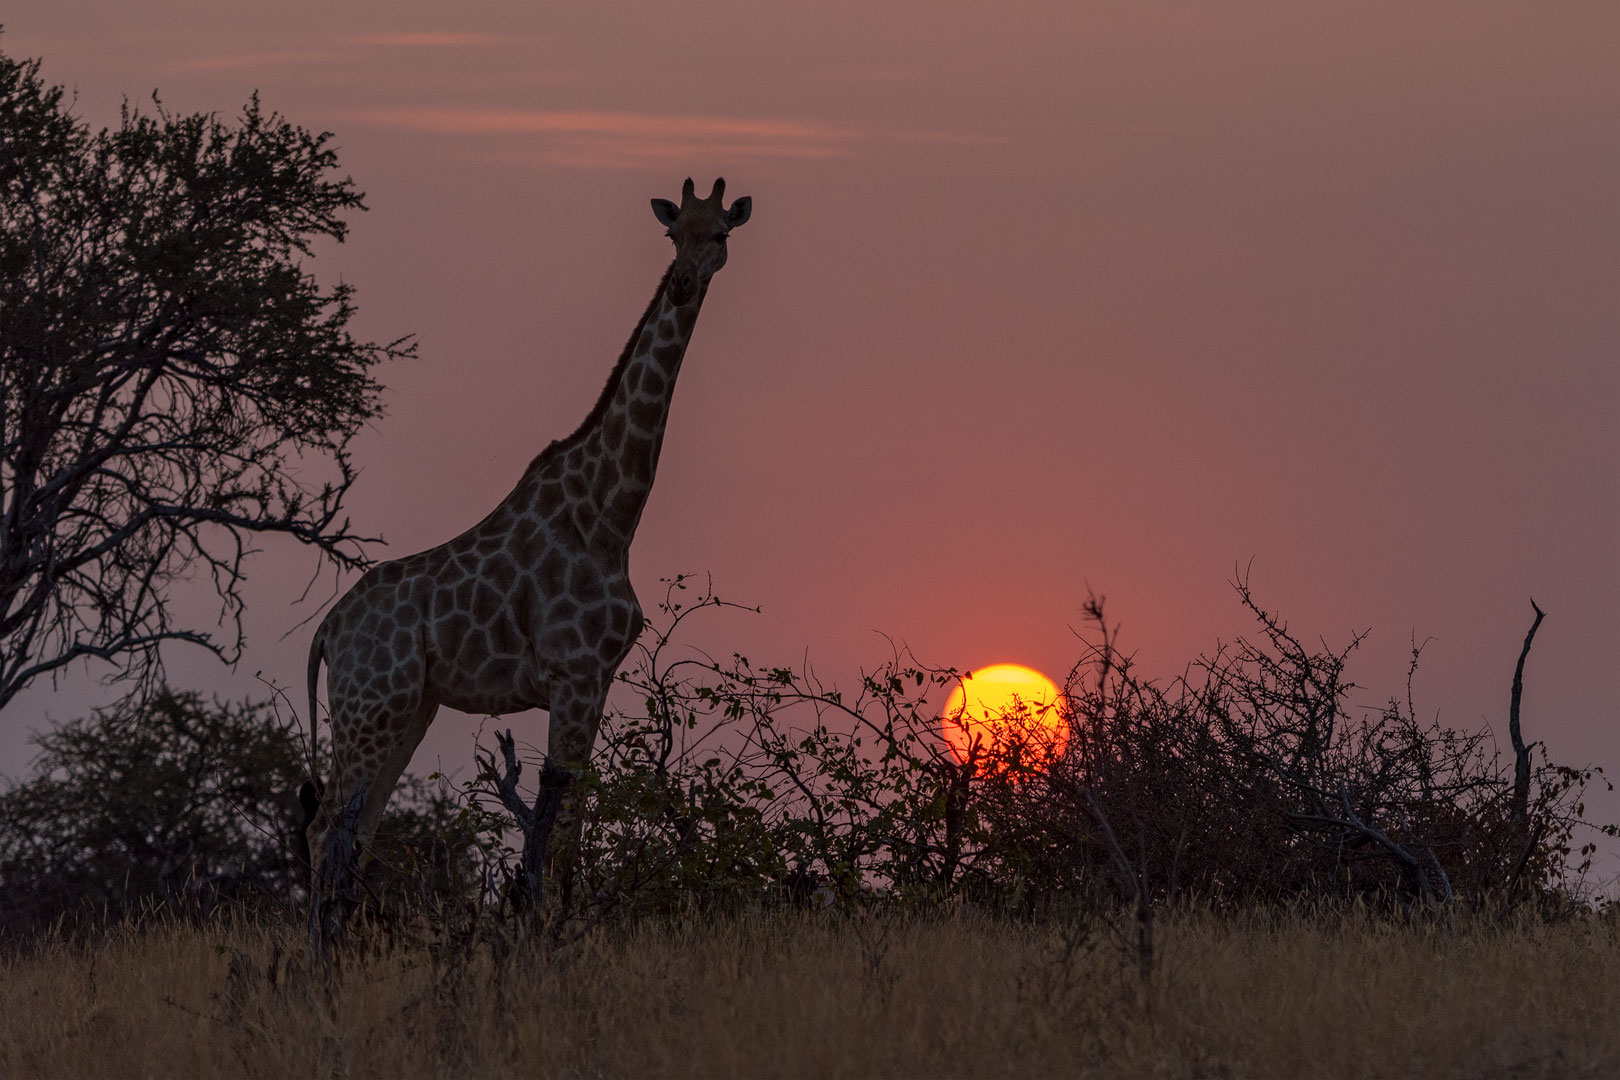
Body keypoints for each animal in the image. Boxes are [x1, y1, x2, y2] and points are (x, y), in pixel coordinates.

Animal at [304, 177, 751, 913]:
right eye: (672, 233)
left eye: (719, 234)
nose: (684, 282)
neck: (610, 515)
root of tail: (328, 629)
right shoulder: (574, 675)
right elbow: (562, 831)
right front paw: (549, 923)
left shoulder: (595, 680)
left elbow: (571, 822)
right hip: (370, 706)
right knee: (324, 828)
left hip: (408, 707)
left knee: (356, 829)